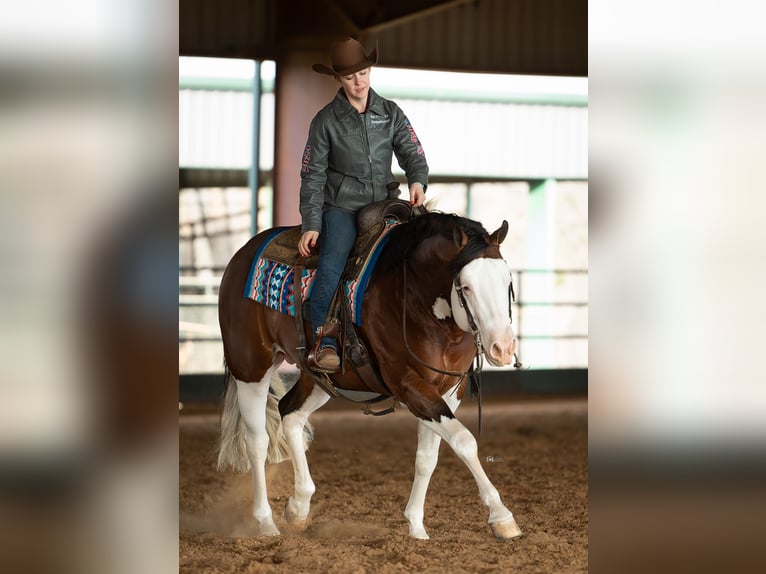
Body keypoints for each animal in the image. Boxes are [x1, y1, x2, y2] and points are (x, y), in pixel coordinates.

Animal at [219, 208, 524, 544]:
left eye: (508, 281)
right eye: (466, 287)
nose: (503, 347)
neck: (413, 296)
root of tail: (242, 255)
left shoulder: (446, 392)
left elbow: (428, 457)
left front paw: (416, 526)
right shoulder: (409, 386)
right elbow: (464, 441)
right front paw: (502, 517)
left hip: (320, 378)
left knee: (290, 413)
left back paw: (299, 508)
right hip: (250, 367)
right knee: (257, 440)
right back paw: (266, 523)